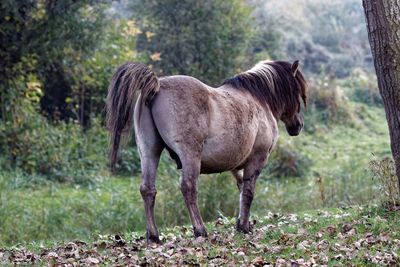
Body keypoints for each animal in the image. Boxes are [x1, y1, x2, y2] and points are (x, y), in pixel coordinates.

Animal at [105, 60, 306, 245]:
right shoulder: (256, 160)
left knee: (148, 189)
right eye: (297, 91)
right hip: (189, 155)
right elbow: (248, 193)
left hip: (149, 152)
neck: (258, 100)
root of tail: (157, 85)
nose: (298, 125)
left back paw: (154, 236)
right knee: (189, 187)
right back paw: (200, 231)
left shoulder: (236, 166)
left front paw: (242, 225)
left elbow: (241, 190)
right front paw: (244, 227)